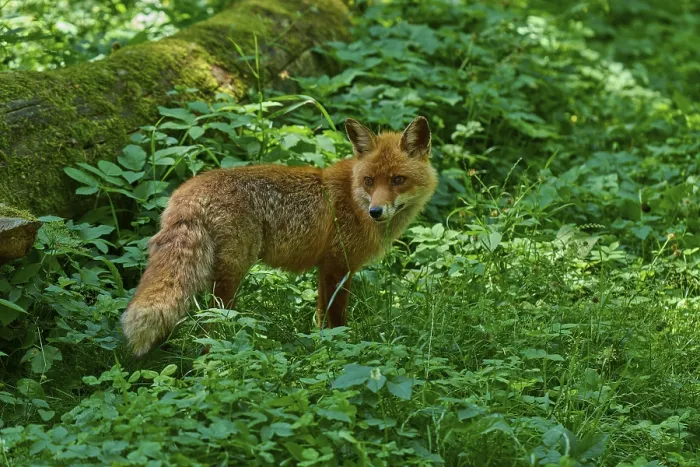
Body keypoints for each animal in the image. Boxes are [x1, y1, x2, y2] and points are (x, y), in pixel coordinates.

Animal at [120, 116, 438, 357]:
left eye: (398, 180)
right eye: (369, 181)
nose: (375, 211)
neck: (353, 196)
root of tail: (187, 190)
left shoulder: (325, 268)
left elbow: (321, 319)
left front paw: (322, 348)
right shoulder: (339, 266)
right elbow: (337, 320)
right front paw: (342, 350)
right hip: (232, 274)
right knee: (212, 324)